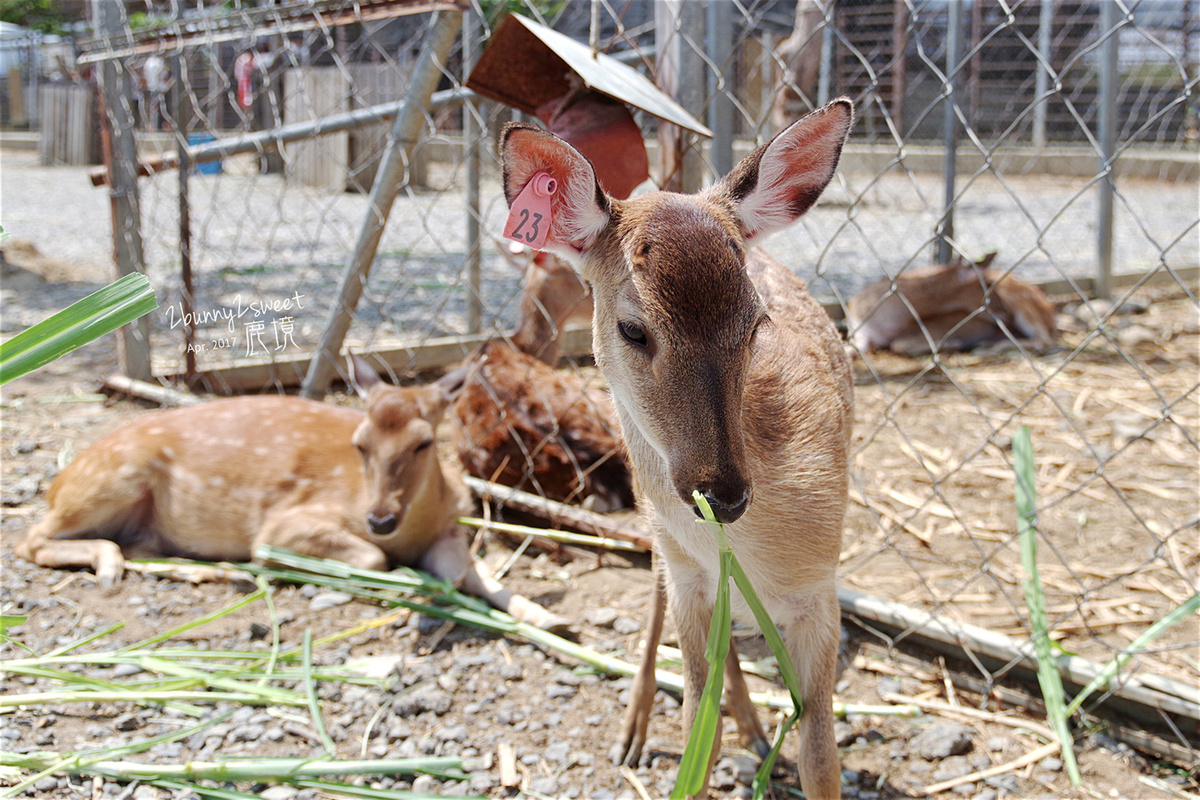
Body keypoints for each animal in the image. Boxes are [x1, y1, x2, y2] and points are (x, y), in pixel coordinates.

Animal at [14, 357, 566, 633]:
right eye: (359, 444)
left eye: (424, 442)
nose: (379, 519)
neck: (417, 526)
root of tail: (57, 482)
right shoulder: (284, 523)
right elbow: (375, 560)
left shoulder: (452, 530)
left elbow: (475, 574)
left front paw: (550, 619)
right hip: (111, 480)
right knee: (31, 538)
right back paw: (111, 567)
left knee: (138, 547)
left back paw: (213, 571)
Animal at [501, 100, 859, 800]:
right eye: (633, 329)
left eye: (755, 322)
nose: (723, 492)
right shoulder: (688, 572)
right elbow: (697, 737)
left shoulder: (822, 589)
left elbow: (820, 758)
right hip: (658, 528)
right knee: (657, 602)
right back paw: (635, 731)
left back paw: (752, 728)